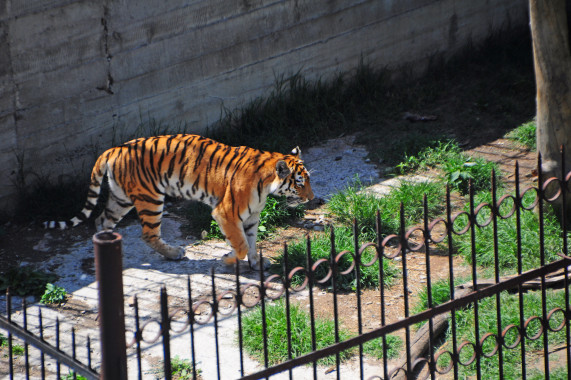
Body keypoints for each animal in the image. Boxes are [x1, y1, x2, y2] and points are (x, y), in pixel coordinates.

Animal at [46, 135, 316, 268]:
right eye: (299, 183)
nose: (312, 198)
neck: (266, 186)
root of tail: (113, 149)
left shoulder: (251, 218)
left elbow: (250, 242)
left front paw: (257, 262)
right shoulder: (226, 213)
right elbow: (240, 245)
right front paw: (228, 260)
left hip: (120, 199)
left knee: (101, 220)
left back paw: (107, 252)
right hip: (151, 198)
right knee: (148, 234)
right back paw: (175, 253)